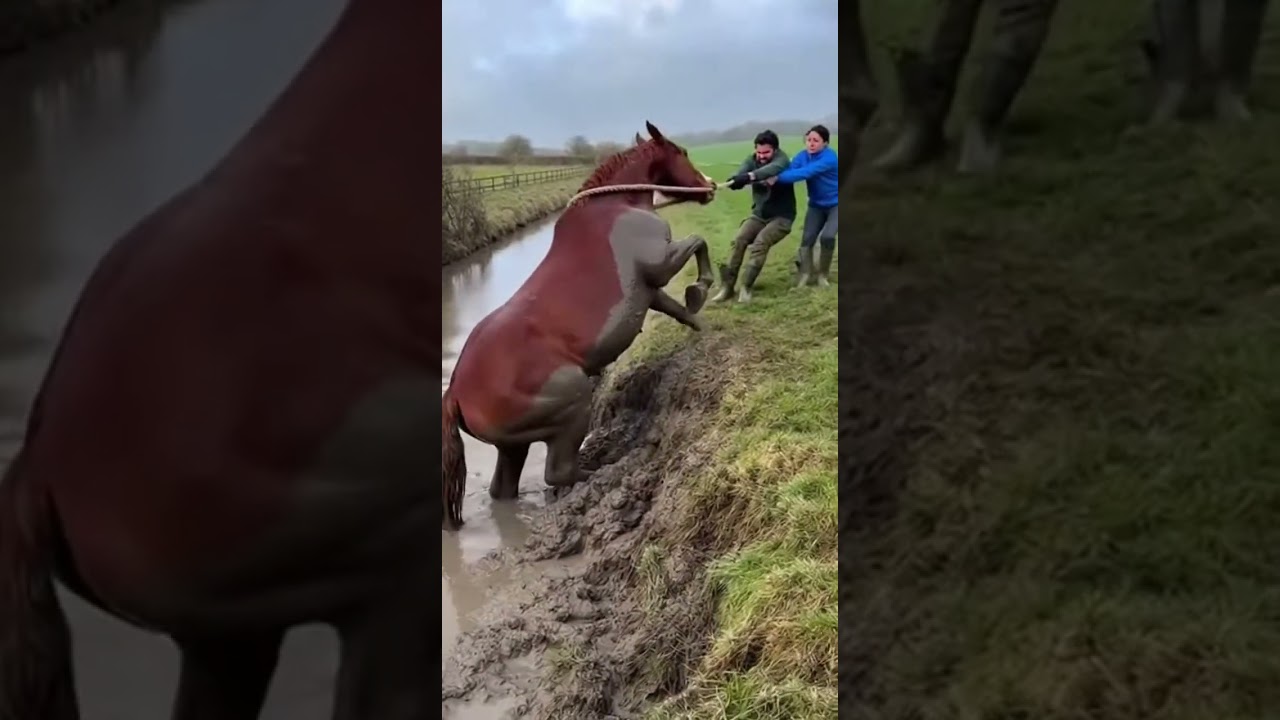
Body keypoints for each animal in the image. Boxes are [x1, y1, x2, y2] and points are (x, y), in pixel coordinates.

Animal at [441, 122, 717, 530]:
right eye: (681, 152)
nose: (710, 186)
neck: (617, 206)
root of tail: (456, 392)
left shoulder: (649, 291)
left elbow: (678, 310)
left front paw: (703, 323)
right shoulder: (660, 265)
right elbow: (699, 243)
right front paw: (700, 288)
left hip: (512, 445)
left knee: (504, 488)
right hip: (572, 400)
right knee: (559, 473)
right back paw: (606, 470)